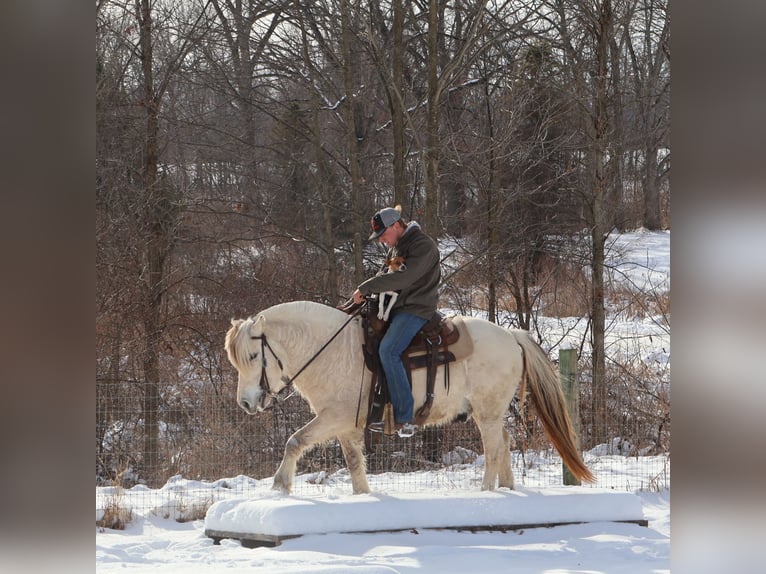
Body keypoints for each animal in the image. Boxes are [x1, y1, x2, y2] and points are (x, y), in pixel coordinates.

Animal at [225, 300, 595, 495]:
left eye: (253, 356)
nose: (246, 403)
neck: (333, 349)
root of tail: (511, 335)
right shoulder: (346, 426)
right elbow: (355, 463)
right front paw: (362, 497)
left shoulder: (335, 417)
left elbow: (294, 440)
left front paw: (280, 485)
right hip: (491, 412)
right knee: (503, 444)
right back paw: (506, 488)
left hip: (487, 412)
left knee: (492, 450)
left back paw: (486, 492)